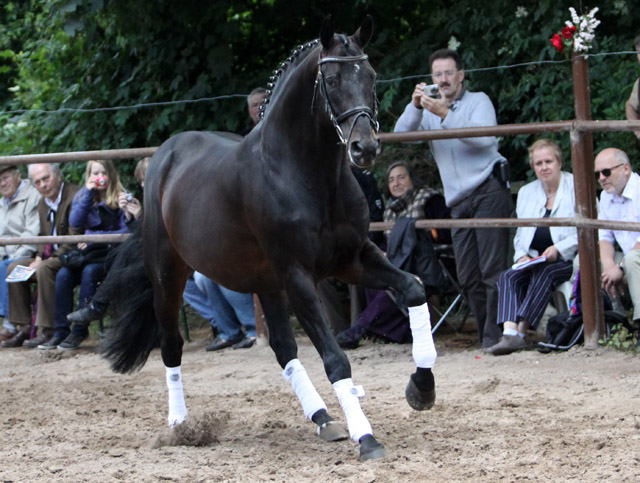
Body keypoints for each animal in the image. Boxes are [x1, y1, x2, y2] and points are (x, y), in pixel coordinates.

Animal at [104, 16, 436, 462]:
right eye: (332, 79)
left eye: (371, 75)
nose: (364, 149)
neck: (307, 174)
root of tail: (164, 156)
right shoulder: (298, 274)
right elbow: (336, 359)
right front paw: (367, 438)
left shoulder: (352, 259)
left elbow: (414, 289)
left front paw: (421, 389)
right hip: (169, 275)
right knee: (171, 345)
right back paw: (180, 426)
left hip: (265, 282)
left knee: (282, 346)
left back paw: (324, 419)